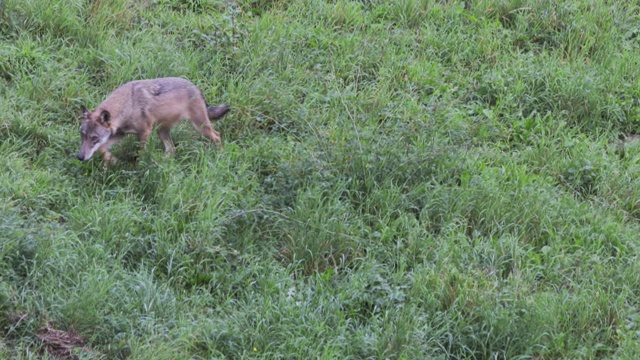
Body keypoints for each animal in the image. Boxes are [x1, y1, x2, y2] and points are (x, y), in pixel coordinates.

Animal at [77, 78, 230, 164]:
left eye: (94, 138)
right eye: (82, 135)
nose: (80, 157)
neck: (128, 105)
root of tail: (197, 88)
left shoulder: (144, 132)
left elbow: (139, 154)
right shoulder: (120, 134)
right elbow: (102, 149)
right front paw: (113, 161)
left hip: (201, 127)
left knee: (217, 136)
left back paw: (221, 156)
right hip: (162, 132)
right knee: (172, 150)